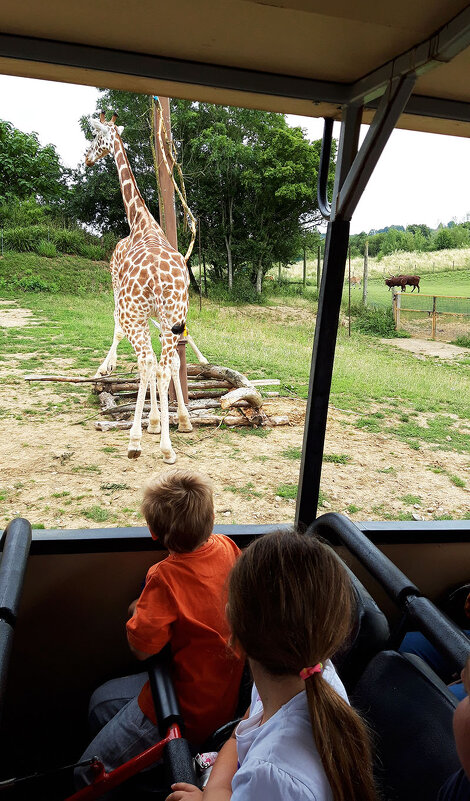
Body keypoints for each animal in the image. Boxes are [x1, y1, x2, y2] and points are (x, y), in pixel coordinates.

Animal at [85, 111, 192, 462]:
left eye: (94, 137)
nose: (87, 158)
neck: (140, 222)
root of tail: (158, 278)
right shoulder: (160, 317)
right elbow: (166, 366)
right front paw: (164, 422)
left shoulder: (127, 305)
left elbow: (127, 343)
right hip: (172, 316)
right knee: (165, 365)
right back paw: (170, 438)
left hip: (136, 313)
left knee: (146, 362)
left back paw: (136, 441)